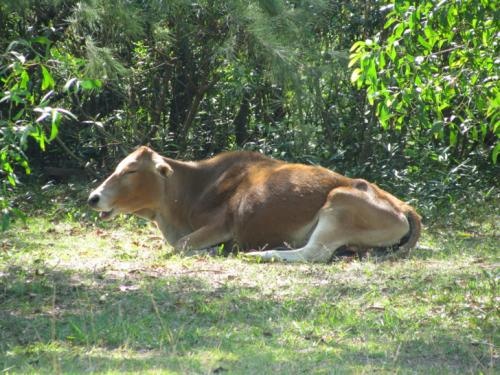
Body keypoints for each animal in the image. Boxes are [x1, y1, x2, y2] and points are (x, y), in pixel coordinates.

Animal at [88, 145, 420, 262]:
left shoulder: (223, 225)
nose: (94, 197)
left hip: (339, 203)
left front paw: (214, 250)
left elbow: (181, 245)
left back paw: (263, 253)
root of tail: (403, 206)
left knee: (314, 253)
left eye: (131, 170)